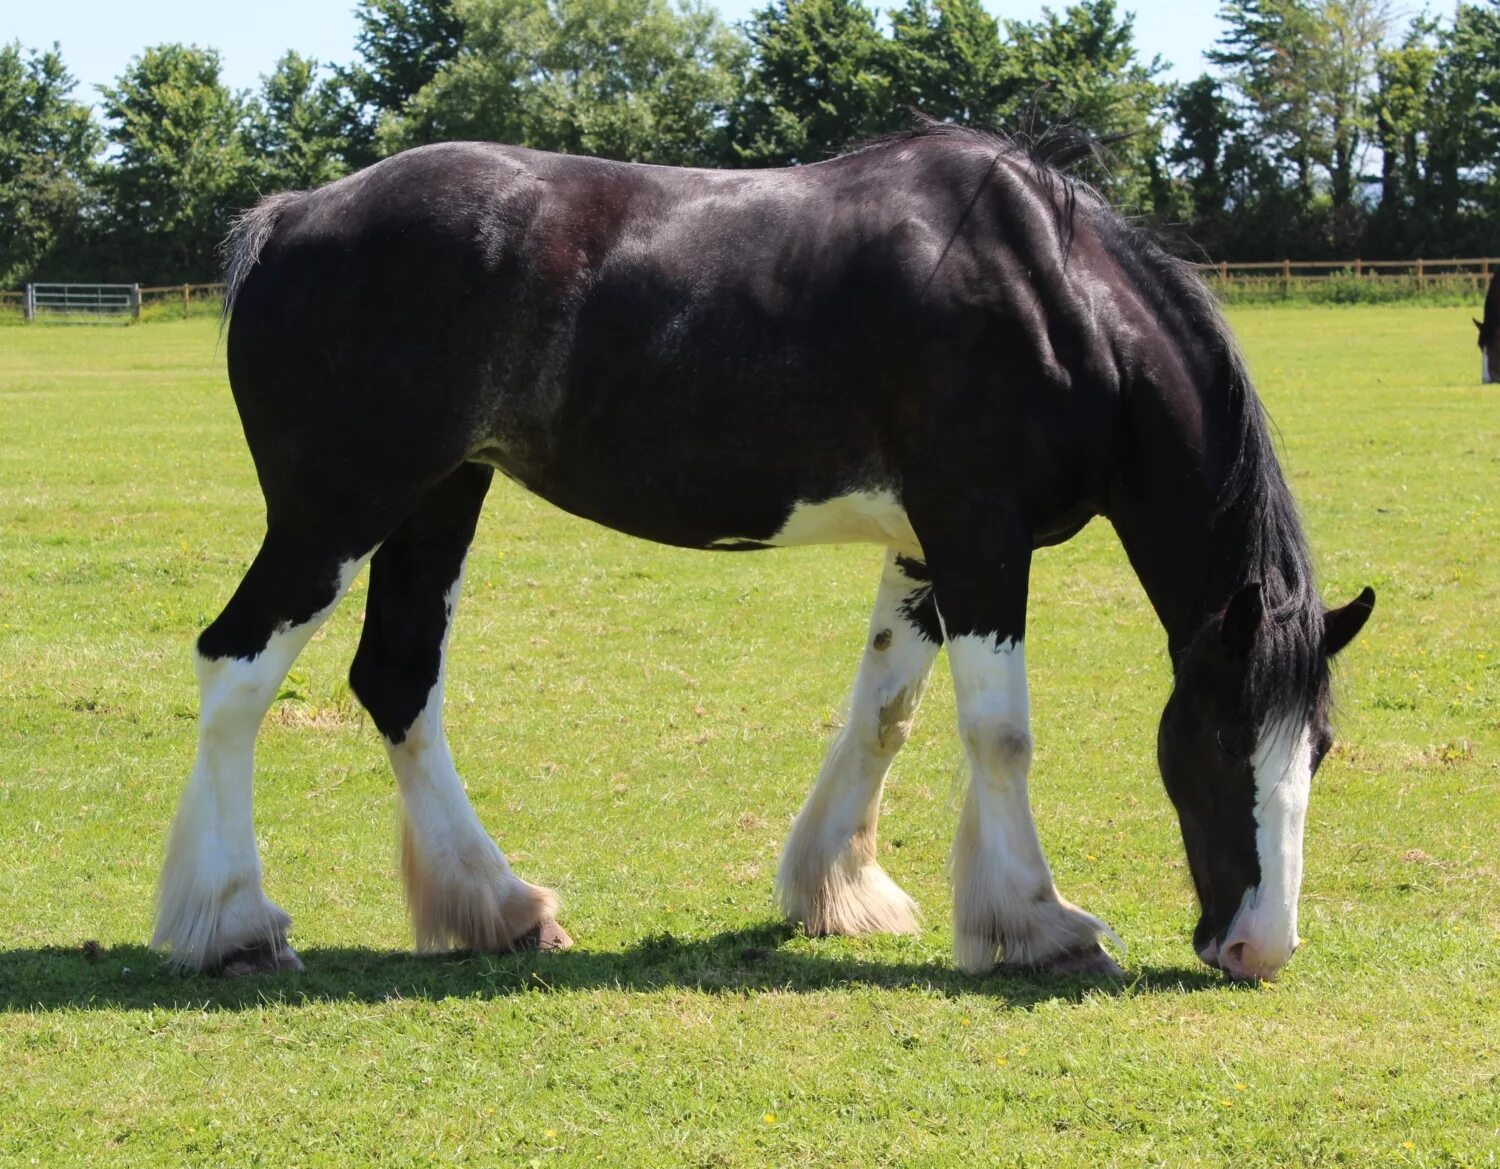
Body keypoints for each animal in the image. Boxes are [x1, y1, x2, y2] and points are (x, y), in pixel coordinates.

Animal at [152, 126, 1374, 990]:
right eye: (1215, 741)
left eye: (1317, 743)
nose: (1258, 947)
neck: (1052, 295)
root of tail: (294, 216)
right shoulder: (979, 535)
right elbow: (1001, 735)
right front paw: (1042, 924)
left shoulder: (926, 551)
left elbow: (885, 715)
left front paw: (835, 887)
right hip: (338, 511)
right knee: (235, 668)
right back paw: (233, 925)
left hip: (440, 496)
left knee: (397, 680)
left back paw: (500, 907)